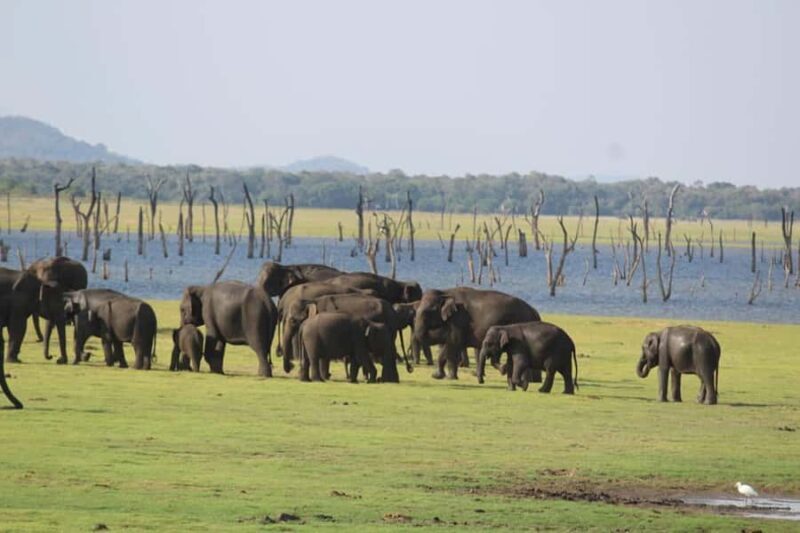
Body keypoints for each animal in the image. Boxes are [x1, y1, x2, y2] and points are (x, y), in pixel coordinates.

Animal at [413, 287, 541, 380]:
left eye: (429, 311)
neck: (445, 292)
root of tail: (535, 312)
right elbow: (450, 343)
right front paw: (446, 376)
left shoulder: (459, 320)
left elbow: (452, 344)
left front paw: (441, 377)